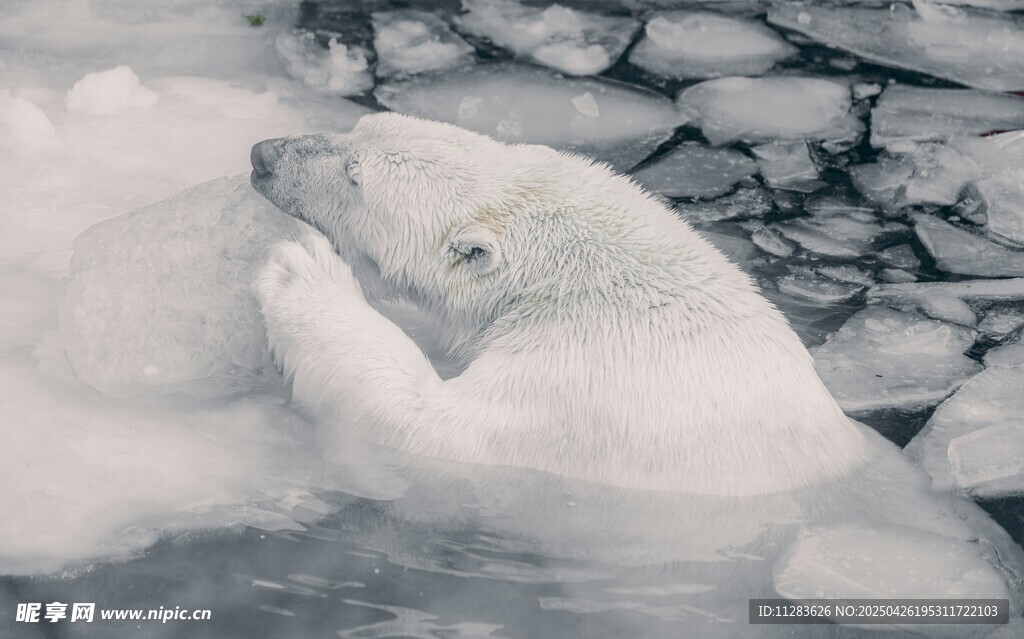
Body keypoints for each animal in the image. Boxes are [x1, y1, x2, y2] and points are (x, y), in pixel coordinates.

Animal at [249, 114, 1024, 630]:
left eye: (354, 176)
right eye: (355, 125)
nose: (262, 153)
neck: (589, 280)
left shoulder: (584, 384)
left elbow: (429, 430)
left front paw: (302, 271)